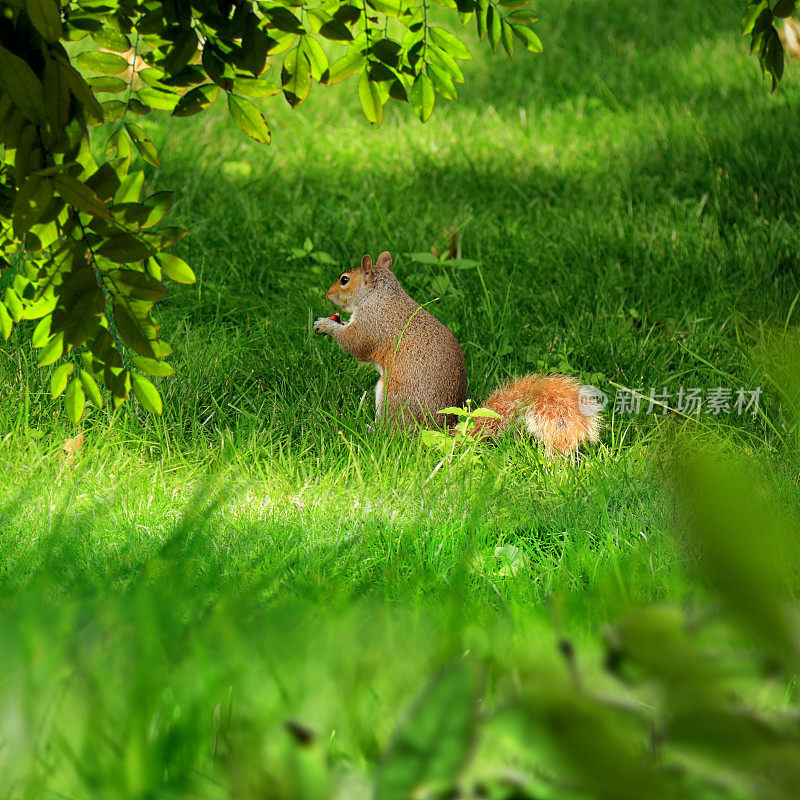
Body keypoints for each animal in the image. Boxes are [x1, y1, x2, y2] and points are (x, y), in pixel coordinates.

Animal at [312, 252, 600, 456]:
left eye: (344, 280)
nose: (327, 295)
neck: (379, 294)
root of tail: (437, 431)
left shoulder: (374, 324)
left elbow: (355, 344)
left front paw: (325, 325)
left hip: (391, 396)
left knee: (395, 434)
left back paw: (372, 431)